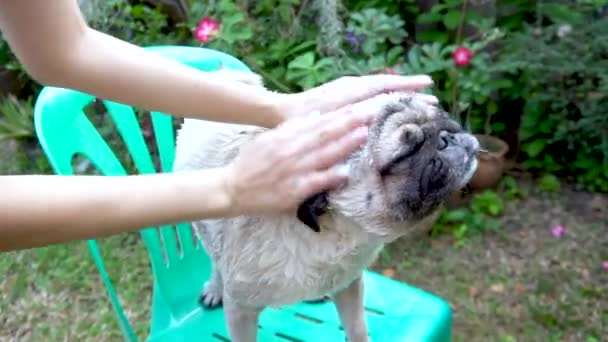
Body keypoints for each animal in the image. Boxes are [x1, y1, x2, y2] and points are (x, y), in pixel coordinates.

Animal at [172, 70, 480, 342]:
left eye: (442, 116)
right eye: (403, 155)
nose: (447, 136)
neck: (332, 237)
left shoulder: (350, 286)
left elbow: (357, 328)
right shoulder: (241, 310)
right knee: (215, 260)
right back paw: (215, 288)